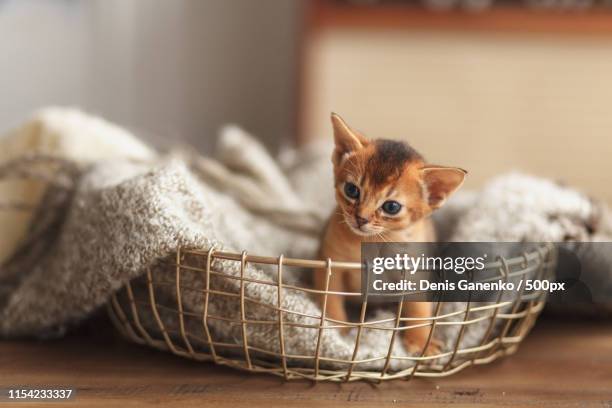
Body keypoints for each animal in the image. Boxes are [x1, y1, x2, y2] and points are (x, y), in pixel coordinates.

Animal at [314, 113, 466, 356]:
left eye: (391, 207)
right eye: (351, 190)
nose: (361, 218)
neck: (375, 242)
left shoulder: (415, 274)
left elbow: (418, 309)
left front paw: (421, 343)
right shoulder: (331, 265)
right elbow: (332, 303)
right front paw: (337, 334)